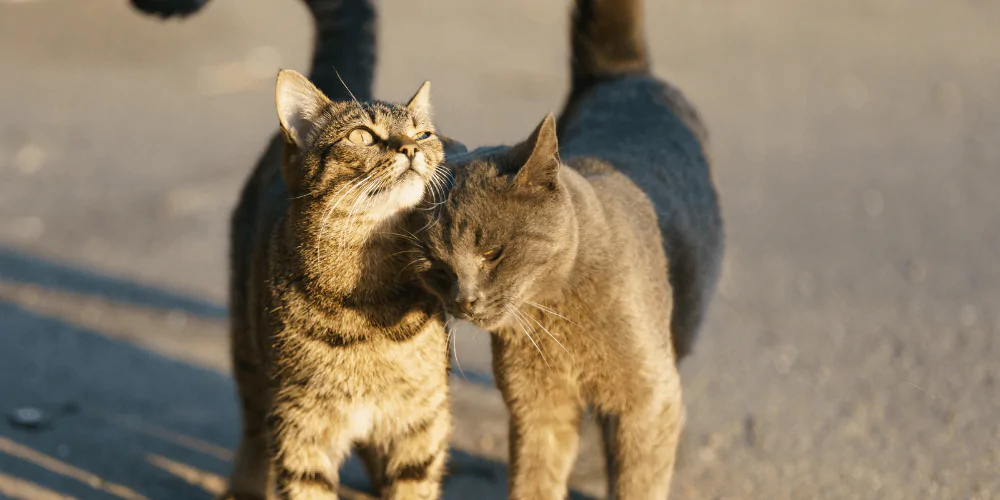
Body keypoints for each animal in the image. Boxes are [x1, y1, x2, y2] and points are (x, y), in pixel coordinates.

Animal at [412, 0, 720, 496]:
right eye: (438, 267)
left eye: (493, 253)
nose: (464, 300)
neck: (554, 318)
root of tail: (623, 74)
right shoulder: (538, 405)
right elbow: (535, 478)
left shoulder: (649, 402)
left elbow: (638, 480)